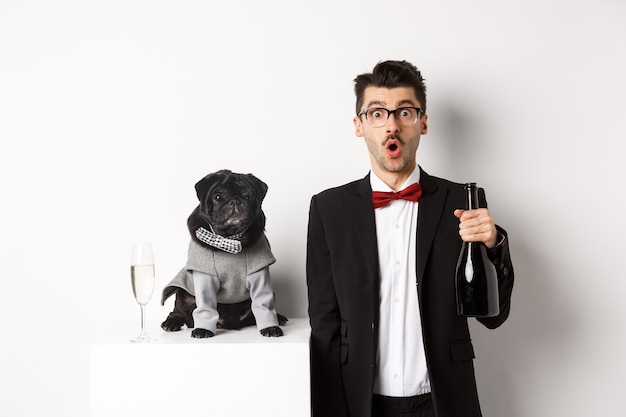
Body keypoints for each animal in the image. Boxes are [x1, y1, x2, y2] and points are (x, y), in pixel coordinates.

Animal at [161, 170, 288, 338]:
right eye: (217, 197)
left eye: (248, 197)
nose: (234, 201)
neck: (230, 240)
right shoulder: (205, 277)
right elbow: (205, 307)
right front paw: (203, 329)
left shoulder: (259, 275)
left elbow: (263, 304)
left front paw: (271, 327)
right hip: (183, 294)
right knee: (178, 311)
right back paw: (171, 323)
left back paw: (279, 318)